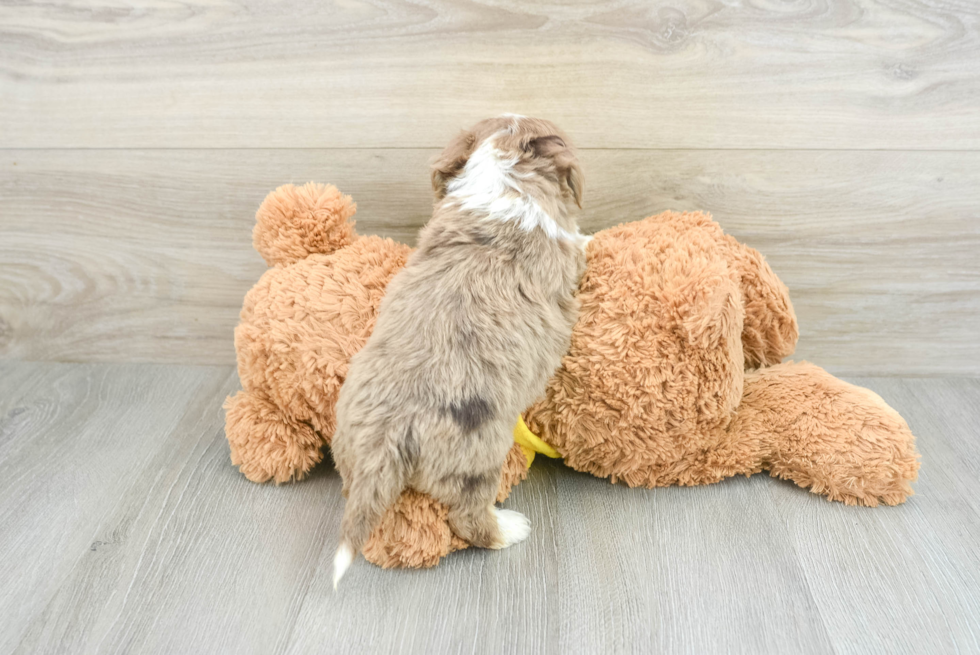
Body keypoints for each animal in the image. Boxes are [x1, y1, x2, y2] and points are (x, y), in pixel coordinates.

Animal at [330, 115, 588, 588]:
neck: (501, 178)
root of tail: (385, 439)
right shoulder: (565, 250)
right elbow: (582, 242)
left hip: (351, 452)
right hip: (478, 456)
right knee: (468, 519)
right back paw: (509, 528)